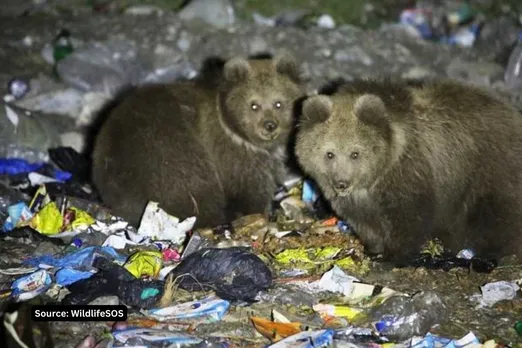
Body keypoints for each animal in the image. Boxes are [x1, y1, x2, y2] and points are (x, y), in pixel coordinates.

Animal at [91, 53, 302, 228]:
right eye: (254, 105)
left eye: (278, 103)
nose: (269, 126)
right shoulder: (233, 153)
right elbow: (250, 187)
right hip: (169, 150)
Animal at [294, 79, 520, 262]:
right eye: (329, 153)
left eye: (355, 153)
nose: (342, 183)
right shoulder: (357, 202)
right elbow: (365, 223)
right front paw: (374, 249)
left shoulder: (411, 176)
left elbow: (408, 219)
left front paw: (393, 255)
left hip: (486, 170)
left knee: (495, 213)